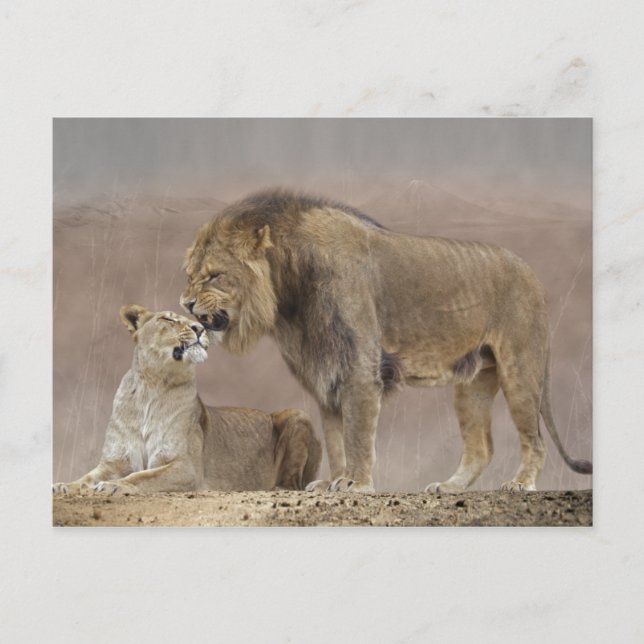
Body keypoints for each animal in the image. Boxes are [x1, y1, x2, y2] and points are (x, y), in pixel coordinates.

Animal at [52, 304, 321, 495]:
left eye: (197, 322)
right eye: (168, 319)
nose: (200, 328)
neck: (152, 386)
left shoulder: (185, 466)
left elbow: (143, 476)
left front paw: (115, 486)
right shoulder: (114, 461)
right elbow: (87, 476)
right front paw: (65, 485)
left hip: (298, 415)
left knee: (293, 484)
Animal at [181, 188, 592, 494]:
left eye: (214, 275)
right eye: (188, 275)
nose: (185, 304)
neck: (289, 299)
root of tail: (534, 276)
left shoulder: (359, 368)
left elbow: (358, 433)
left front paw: (356, 484)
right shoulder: (325, 372)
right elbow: (336, 437)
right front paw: (334, 481)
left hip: (519, 369)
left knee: (535, 439)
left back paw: (520, 484)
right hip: (473, 381)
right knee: (481, 447)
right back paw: (449, 486)